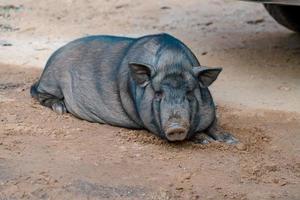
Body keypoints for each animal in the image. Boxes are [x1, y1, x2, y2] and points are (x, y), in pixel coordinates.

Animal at [30, 34, 237, 144]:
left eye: (189, 92)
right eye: (158, 93)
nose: (176, 127)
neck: (172, 63)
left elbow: (215, 123)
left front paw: (232, 140)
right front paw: (206, 141)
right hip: (52, 81)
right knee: (39, 93)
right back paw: (61, 108)